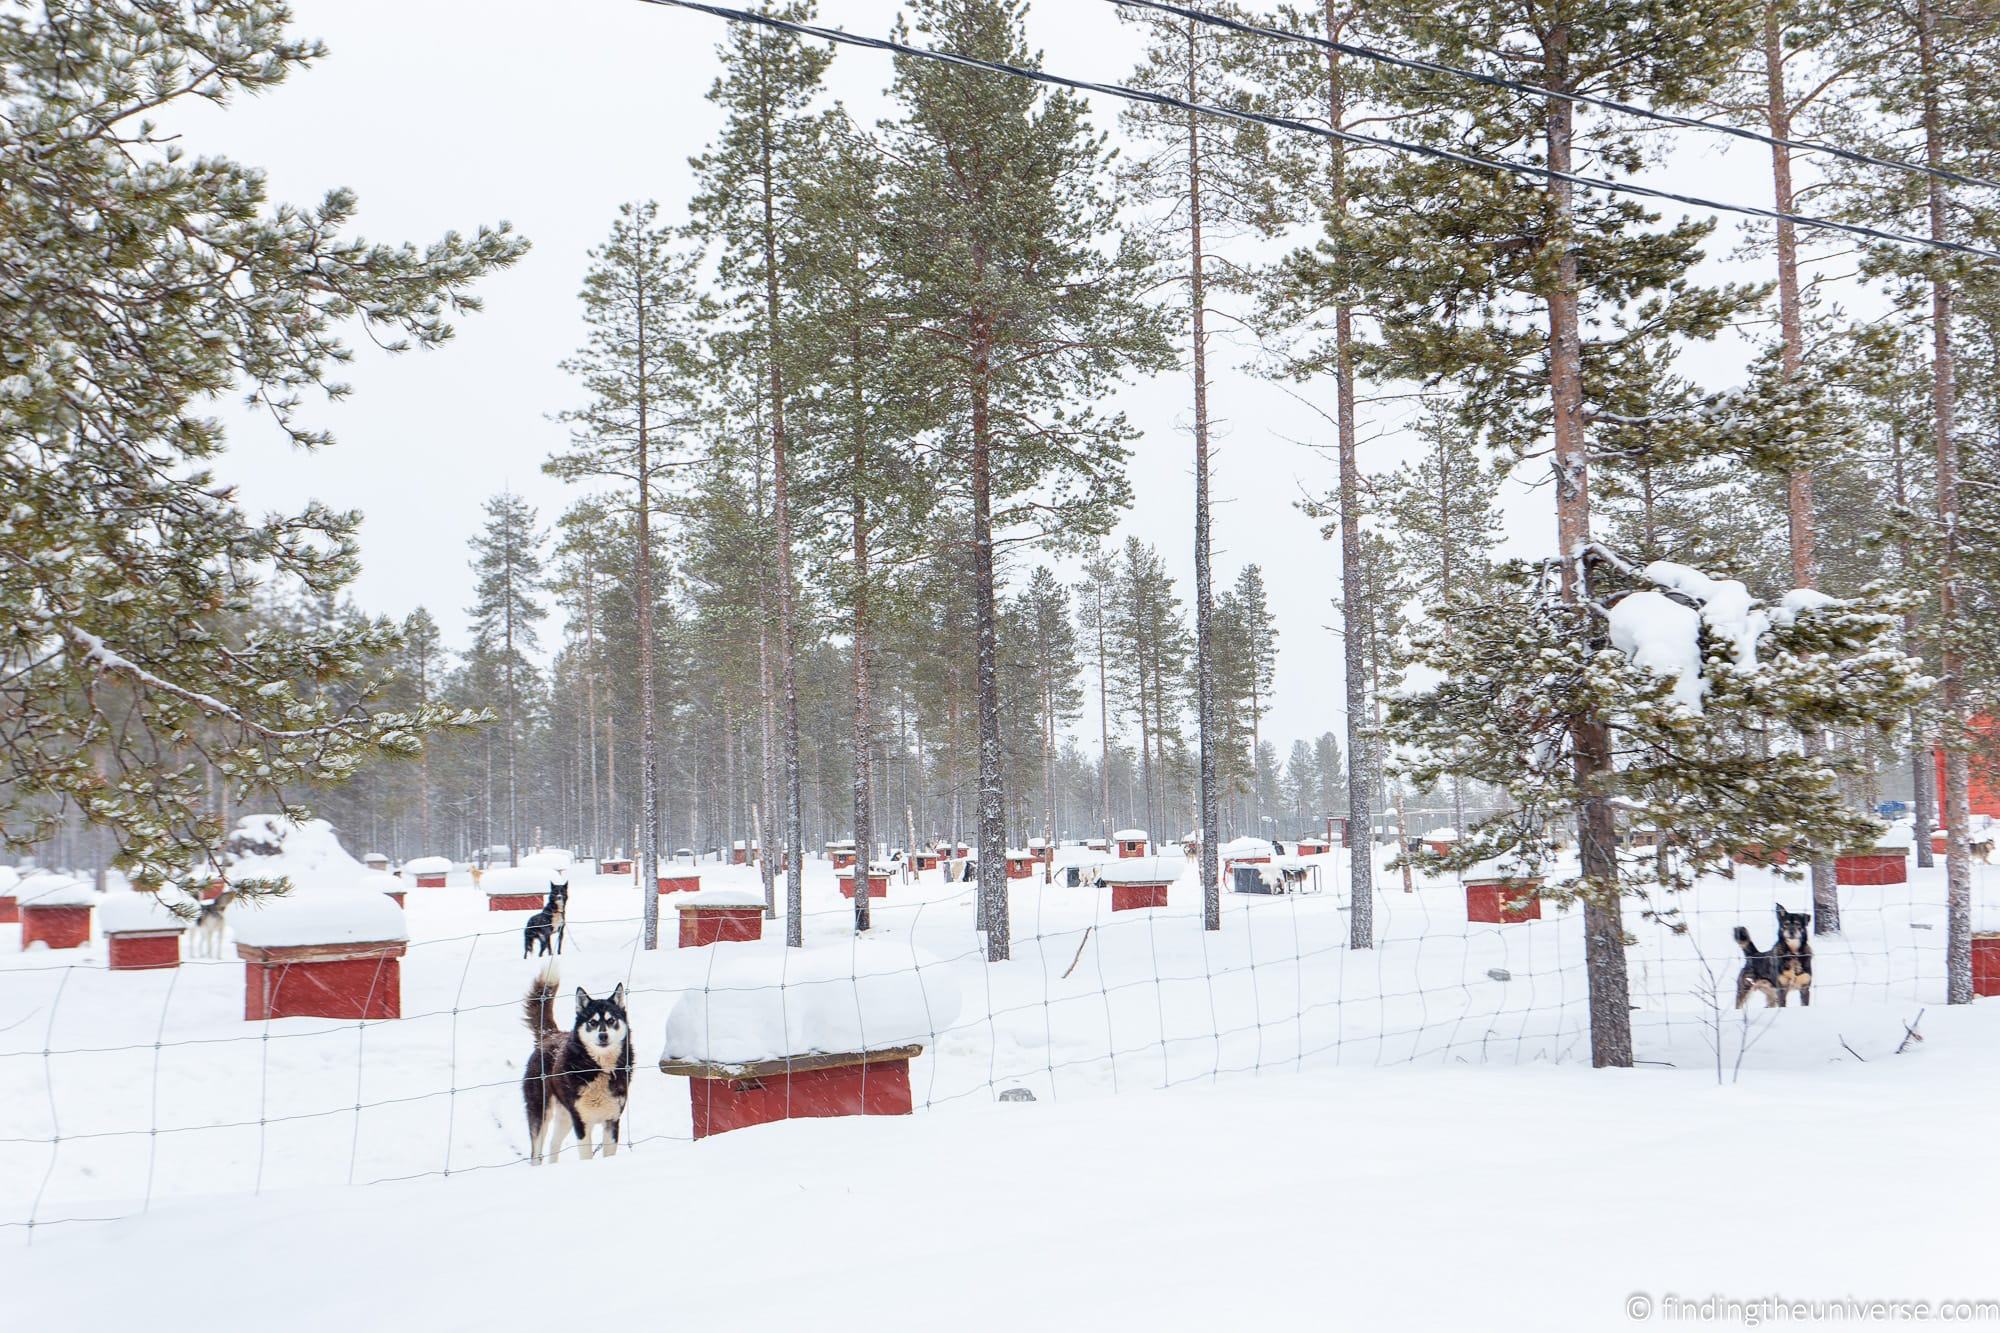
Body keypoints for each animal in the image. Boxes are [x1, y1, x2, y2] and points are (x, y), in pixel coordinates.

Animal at [524, 960, 632, 1160]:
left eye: (611, 1020)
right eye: (592, 1022)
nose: (603, 1036)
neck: (598, 1068)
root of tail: (550, 1035)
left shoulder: (612, 1120)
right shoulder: (581, 1122)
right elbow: (586, 1156)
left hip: (565, 1116)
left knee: (553, 1144)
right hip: (541, 1113)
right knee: (536, 1153)